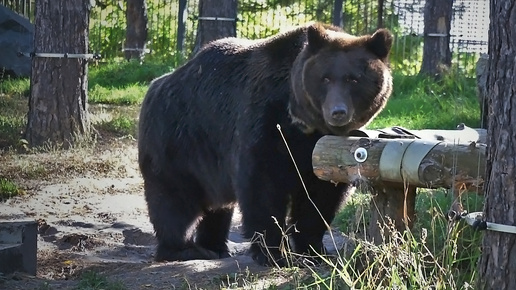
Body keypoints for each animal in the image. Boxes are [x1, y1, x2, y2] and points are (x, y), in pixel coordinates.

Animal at [137, 23, 392, 266]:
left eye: (354, 79)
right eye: (325, 78)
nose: (338, 112)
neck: (302, 124)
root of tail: (155, 85)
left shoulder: (321, 151)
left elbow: (321, 196)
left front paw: (315, 250)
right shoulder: (266, 124)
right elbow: (263, 187)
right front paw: (275, 253)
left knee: (218, 208)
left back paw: (216, 247)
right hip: (176, 142)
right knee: (174, 201)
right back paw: (184, 249)